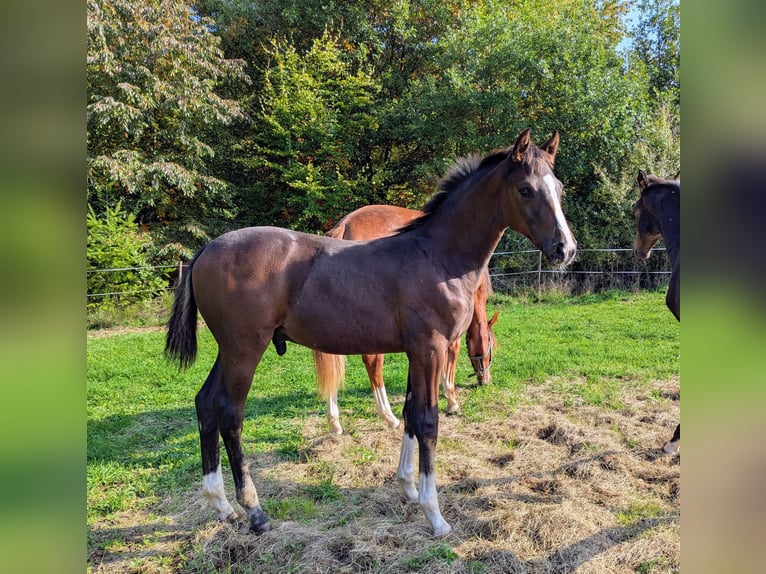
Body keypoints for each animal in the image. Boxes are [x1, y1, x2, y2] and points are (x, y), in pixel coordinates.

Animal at [315, 204, 499, 434]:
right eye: (491, 346)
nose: (485, 380)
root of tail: (345, 225)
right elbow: (452, 355)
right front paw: (451, 400)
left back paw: (335, 422)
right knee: (373, 362)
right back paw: (389, 417)